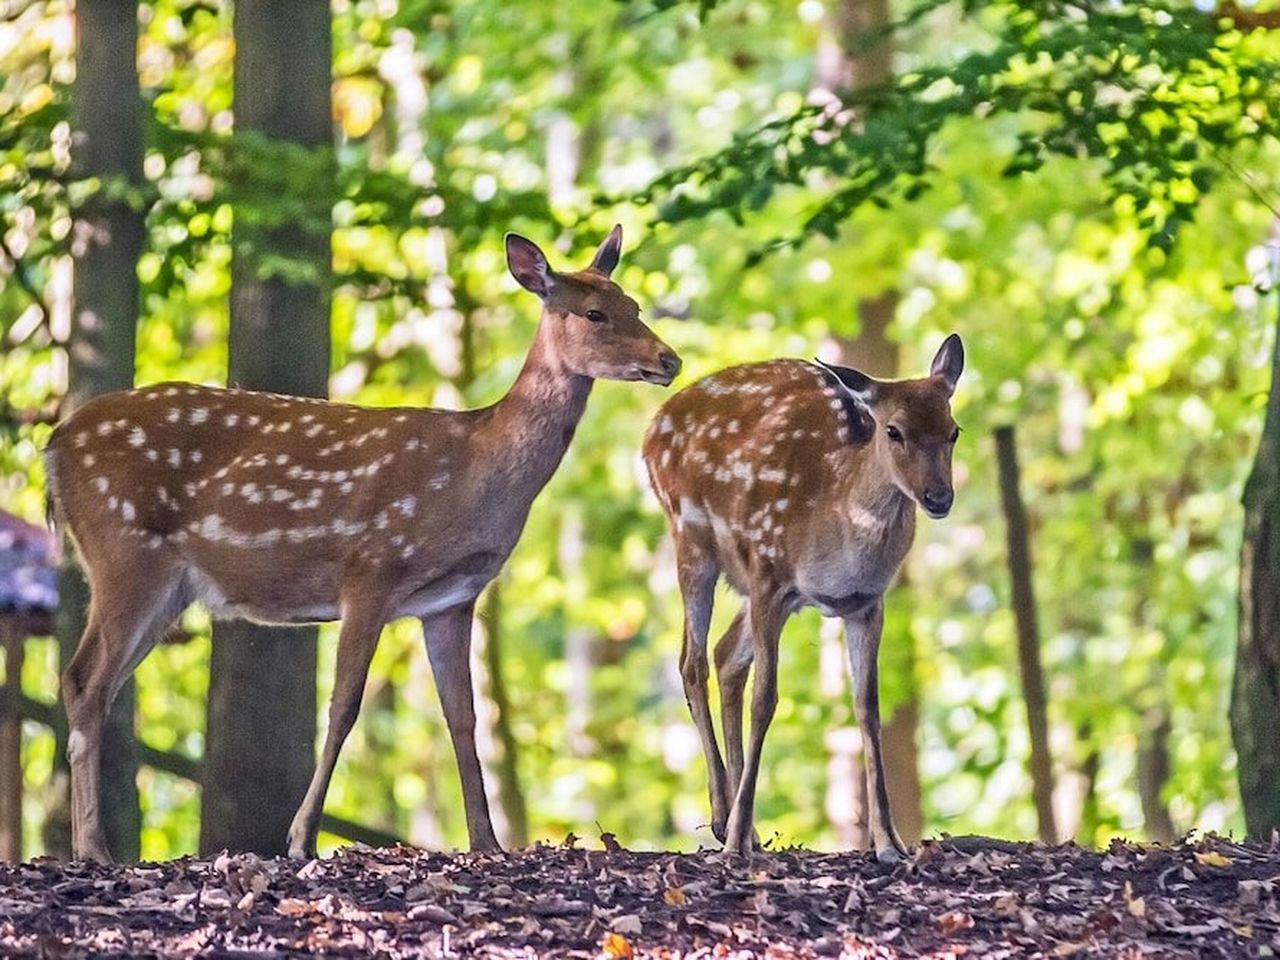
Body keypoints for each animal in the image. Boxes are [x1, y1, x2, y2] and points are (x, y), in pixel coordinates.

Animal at [47, 227, 680, 865]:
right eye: (595, 312)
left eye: (635, 305)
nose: (668, 360)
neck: (476, 471)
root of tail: (53, 445)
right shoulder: (372, 567)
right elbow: (344, 705)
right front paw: (300, 838)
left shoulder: (453, 599)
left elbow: (463, 717)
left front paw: (486, 841)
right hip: (124, 547)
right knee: (84, 681)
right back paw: (93, 849)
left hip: (169, 586)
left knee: (95, 685)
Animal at [645, 337, 962, 865]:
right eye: (894, 430)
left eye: (954, 430)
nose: (939, 497)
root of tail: (653, 427)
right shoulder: (769, 577)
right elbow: (766, 701)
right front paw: (735, 845)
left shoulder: (867, 603)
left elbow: (867, 708)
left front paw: (889, 843)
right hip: (691, 540)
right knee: (692, 660)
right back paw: (725, 821)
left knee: (726, 655)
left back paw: (741, 823)